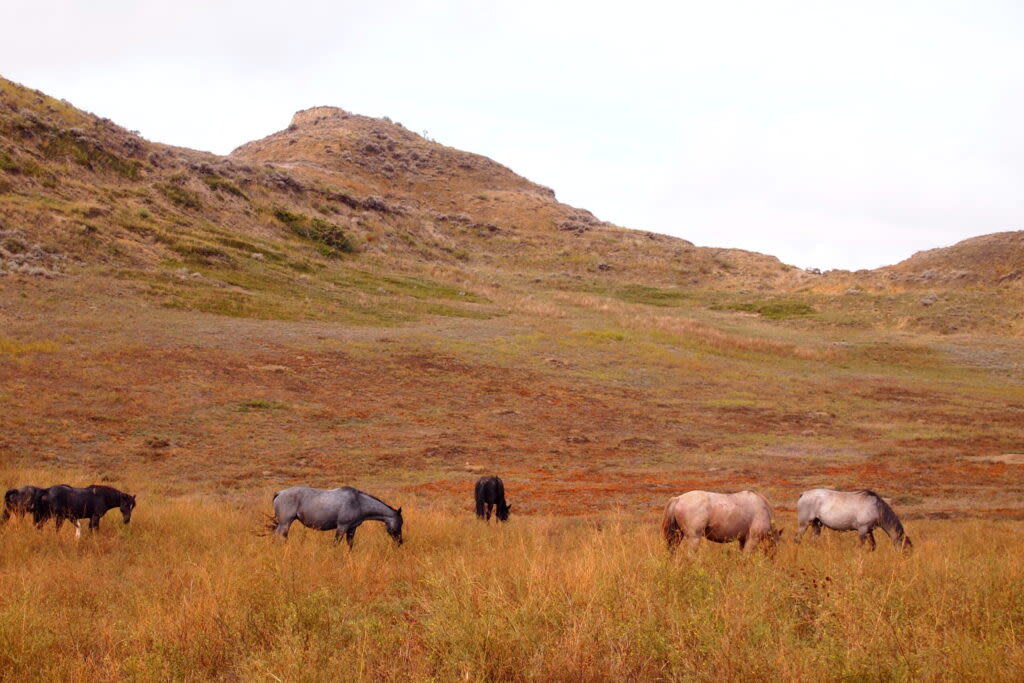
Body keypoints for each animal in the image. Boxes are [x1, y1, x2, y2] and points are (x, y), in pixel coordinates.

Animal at [270, 485, 401, 548]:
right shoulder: (341, 527)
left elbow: (350, 545)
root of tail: (280, 493)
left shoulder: (352, 529)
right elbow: (335, 544)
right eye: (400, 523)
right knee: (280, 537)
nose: (400, 542)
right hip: (285, 523)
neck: (358, 502)